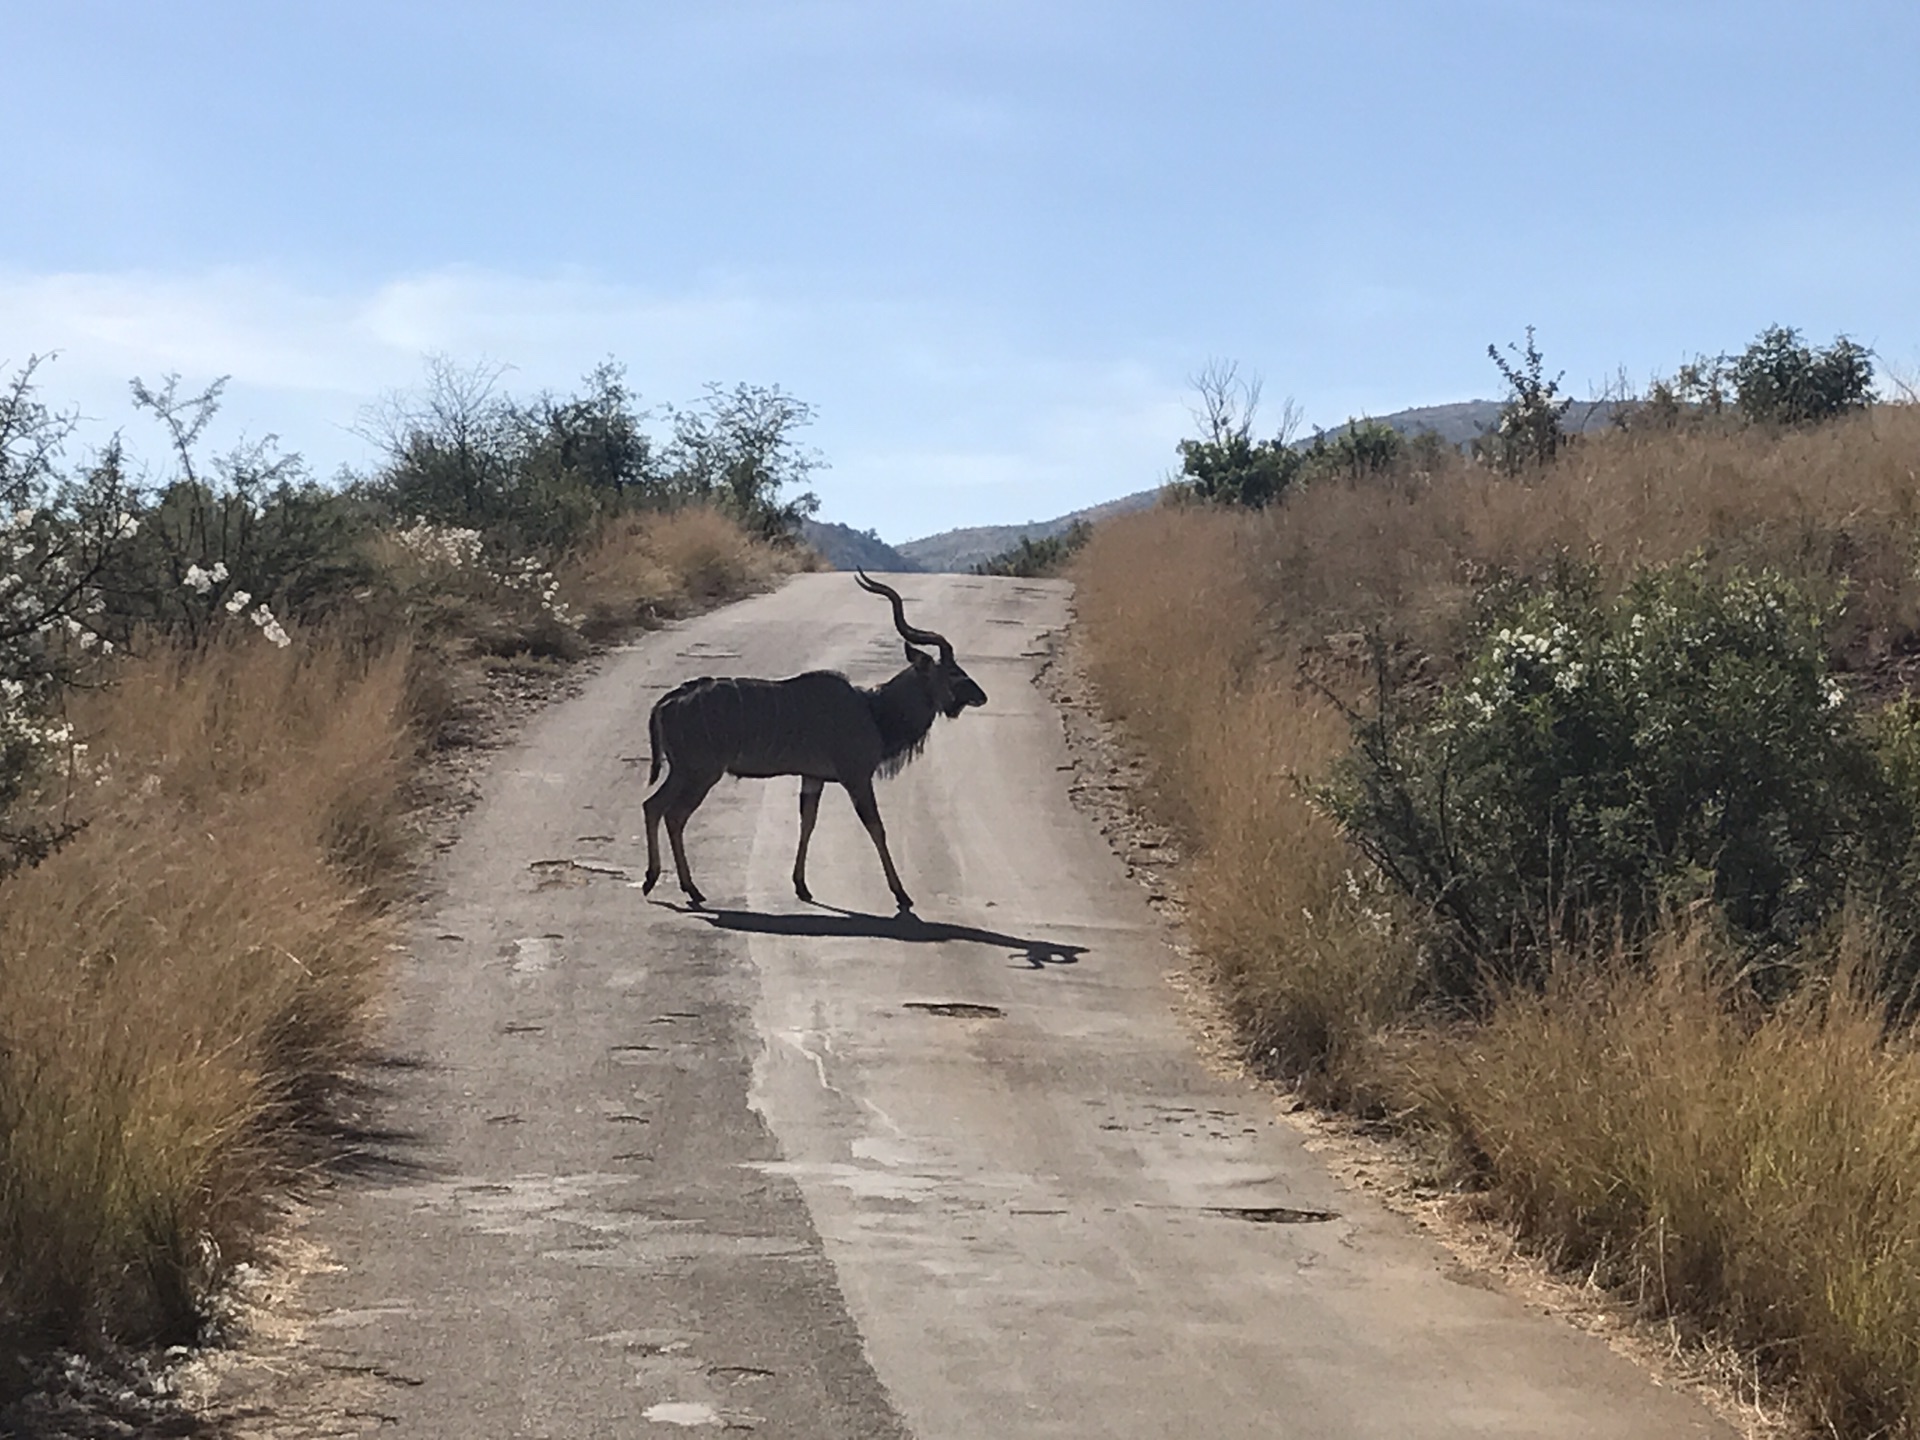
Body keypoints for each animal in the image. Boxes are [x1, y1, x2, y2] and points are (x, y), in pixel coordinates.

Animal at [641, 572, 983, 913]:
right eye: (953, 672)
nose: (982, 696)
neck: (874, 710)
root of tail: (665, 703)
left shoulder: (813, 778)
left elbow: (808, 822)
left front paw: (802, 886)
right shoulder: (856, 777)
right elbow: (876, 827)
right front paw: (902, 896)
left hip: (683, 771)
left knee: (652, 806)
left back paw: (653, 880)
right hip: (702, 773)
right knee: (674, 814)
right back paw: (691, 889)